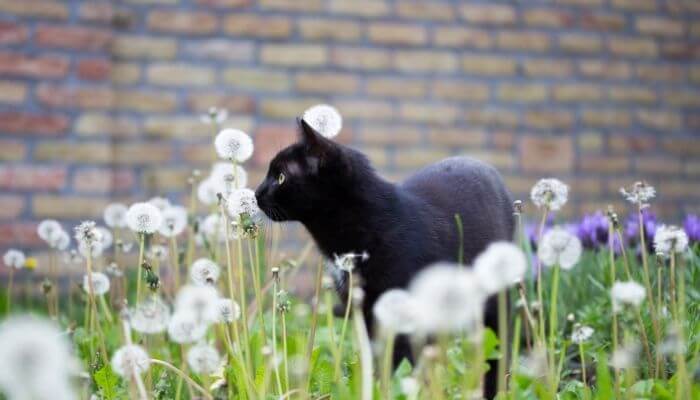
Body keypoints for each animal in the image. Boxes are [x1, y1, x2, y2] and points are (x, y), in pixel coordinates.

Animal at [256, 118, 516, 396]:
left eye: (281, 177)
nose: (256, 192)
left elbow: (398, 361)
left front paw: (390, 389)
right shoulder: (363, 312)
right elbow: (376, 357)